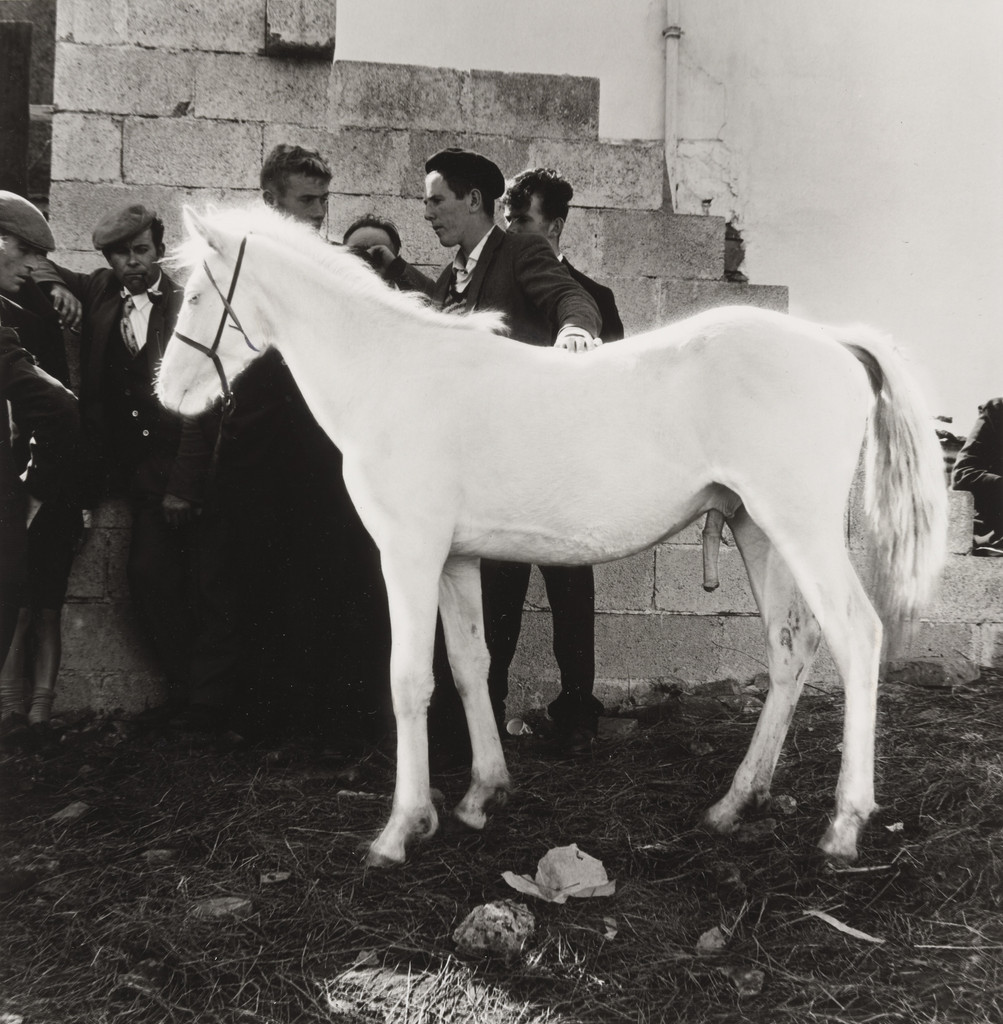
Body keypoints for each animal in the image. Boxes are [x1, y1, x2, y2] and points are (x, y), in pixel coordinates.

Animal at [156, 205, 947, 868]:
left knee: (856, 637)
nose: (167, 394)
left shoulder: (409, 553)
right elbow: (469, 666)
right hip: (758, 529)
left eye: (194, 297)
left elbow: (409, 680)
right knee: (791, 650)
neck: (395, 375)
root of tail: (834, 343)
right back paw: (731, 805)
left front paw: (399, 830)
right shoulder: (456, 560)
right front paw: (481, 795)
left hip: (801, 529)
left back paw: (843, 825)